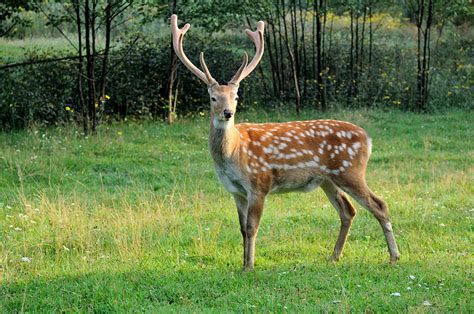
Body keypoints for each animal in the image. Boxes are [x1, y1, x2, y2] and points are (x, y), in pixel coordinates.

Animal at [170, 14, 400, 270]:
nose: (228, 113)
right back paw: (334, 256)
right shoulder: (236, 191)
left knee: (379, 205)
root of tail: (367, 139)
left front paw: (249, 266)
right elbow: (242, 229)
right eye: (212, 98)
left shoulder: (259, 184)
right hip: (327, 179)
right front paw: (243, 263)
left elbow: (252, 227)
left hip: (350, 171)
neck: (234, 153)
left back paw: (393, 256)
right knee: (348, 211)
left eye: (236, 96)